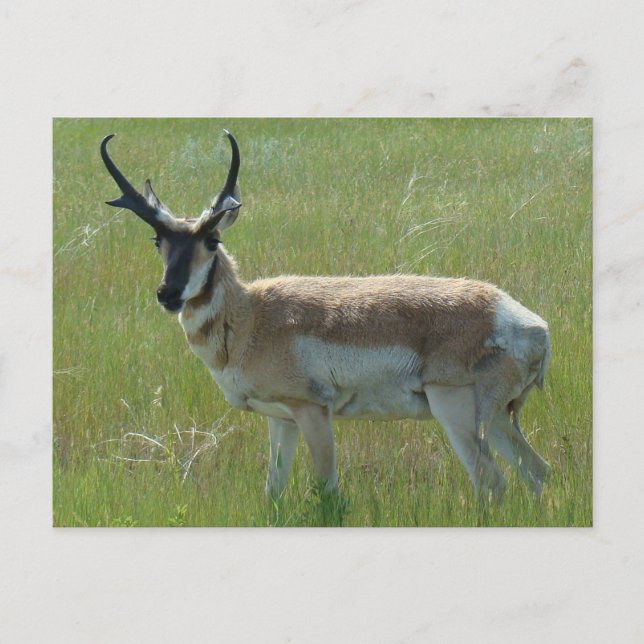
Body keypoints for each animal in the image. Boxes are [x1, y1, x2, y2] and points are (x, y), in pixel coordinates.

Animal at [100, 131, 551, 502]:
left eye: (213, 239)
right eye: (157, 239)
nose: (168, 294)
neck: (252, 316)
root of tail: (530, 324)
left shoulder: (312, 412)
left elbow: (328, 491)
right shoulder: (280, 419)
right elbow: (273, 492)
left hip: (456, 412)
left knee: (492, 482)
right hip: (497, 419)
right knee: (537, 472)